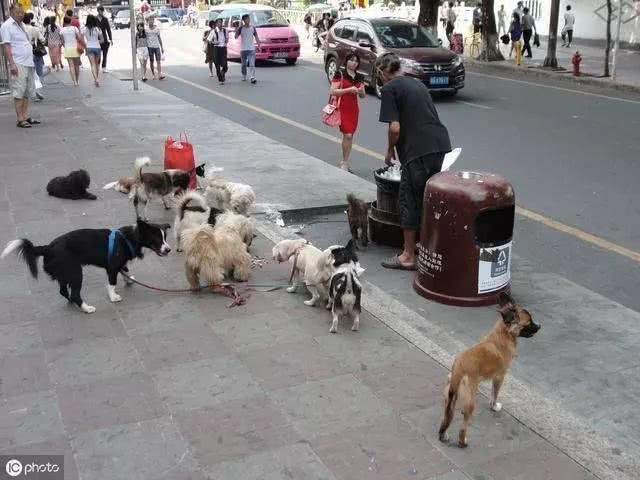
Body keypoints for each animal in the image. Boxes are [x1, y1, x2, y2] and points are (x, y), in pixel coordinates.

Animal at [0, 218, 170, 316]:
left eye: (165, 237)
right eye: (157, 239)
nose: (168, 249)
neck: (129, 237)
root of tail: (48, 248)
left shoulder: (118, 263)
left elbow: (125, 269)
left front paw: (129, 280)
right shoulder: (112, 266)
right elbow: (112, 282)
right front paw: (113, 297)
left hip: (65, 273)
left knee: (64, 291)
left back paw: (75, 303)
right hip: (76, 272)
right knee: (75, 293)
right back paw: (86, 308)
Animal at [436, 290, 540, 448]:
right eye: (529, 322)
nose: (540, 326)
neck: (503, 333)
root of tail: (459, 368)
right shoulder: (499, 377)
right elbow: (494, 394)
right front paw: (494, 406)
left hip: (449, 398)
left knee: (447, 417)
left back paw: (444, 435)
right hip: (470, 401)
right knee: (463, 426)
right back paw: (463, 441)